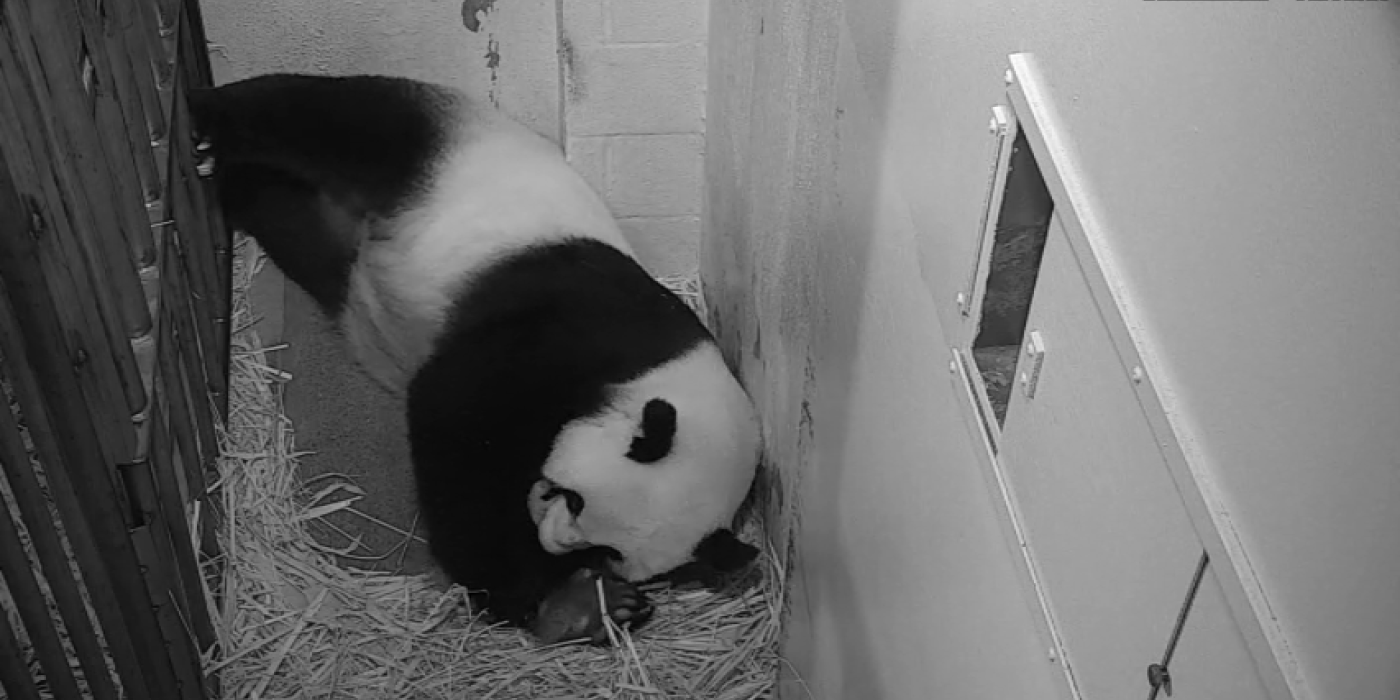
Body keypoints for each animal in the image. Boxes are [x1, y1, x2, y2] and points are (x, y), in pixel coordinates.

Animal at [189, 72, 767, 644]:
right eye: (575, 499)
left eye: (604, 550)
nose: (554, 542)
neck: (666, 376)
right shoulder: (570, 339)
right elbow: (454, 421)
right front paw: (556, 603)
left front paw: (592, 601)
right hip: (431, 152)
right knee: (341, 118)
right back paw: (211, 125)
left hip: (331, 257)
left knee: (286, 215)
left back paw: (239, 185)